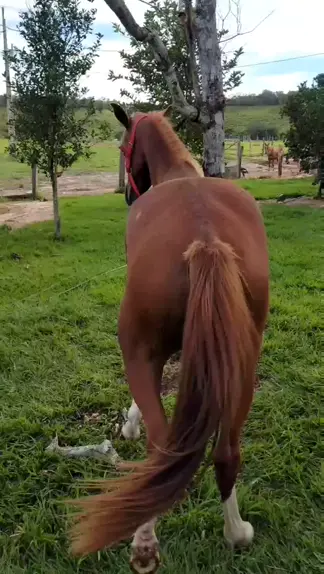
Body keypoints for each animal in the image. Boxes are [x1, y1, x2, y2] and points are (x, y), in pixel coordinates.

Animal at [71, 106, 270, 572]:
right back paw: (237, 533)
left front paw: (129, 424)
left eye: (123, 147)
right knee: (226, 452)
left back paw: (144, 541)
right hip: (243, 363)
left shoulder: (148, 354)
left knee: (162, 451)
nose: (128, 195)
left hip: (138, 351)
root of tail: (207, 241)